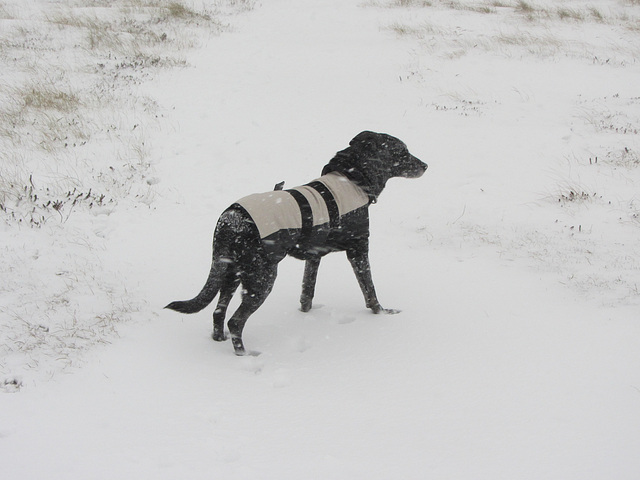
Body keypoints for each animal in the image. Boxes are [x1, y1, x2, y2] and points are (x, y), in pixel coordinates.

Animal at [166, 131, 424, 356]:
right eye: (402, 151)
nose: (426, 165)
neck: (353, 178)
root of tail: (231, 218)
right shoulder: (359, 249)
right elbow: (370, 291)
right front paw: (383, 314)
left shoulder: (314, 256)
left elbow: (307, 292)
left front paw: (305, 314)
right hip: (262, 278)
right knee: (235, 321)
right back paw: (244, 355)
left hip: (231, 272)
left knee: (218, 312)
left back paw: (219, 339)